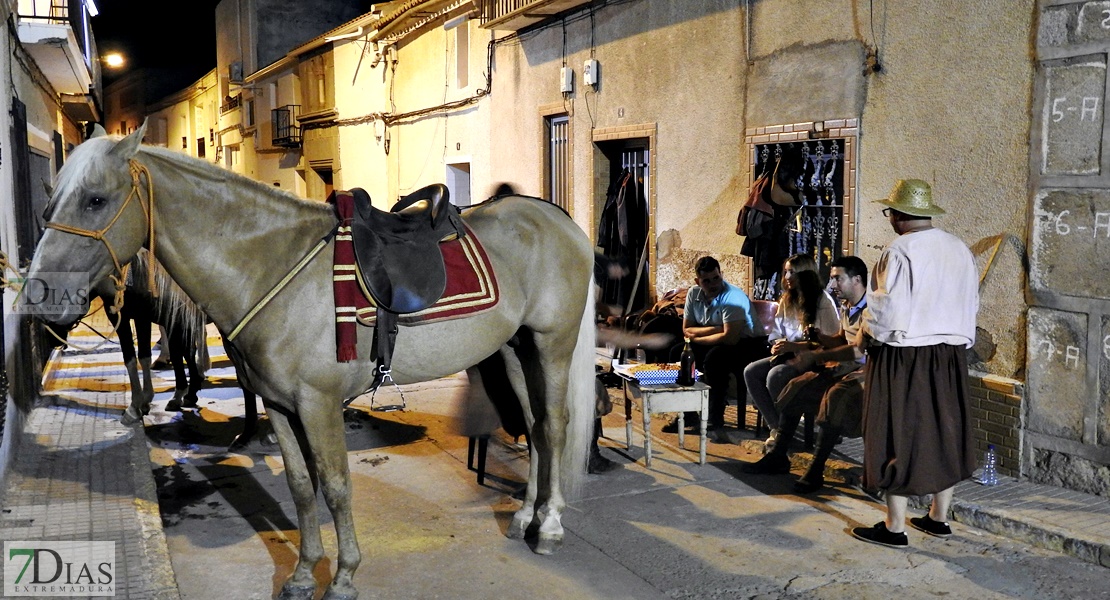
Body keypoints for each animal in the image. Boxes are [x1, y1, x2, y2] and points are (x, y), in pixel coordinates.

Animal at [28, 124, 599, 594]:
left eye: (96, 200)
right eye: (49, 200)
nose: (39, 294)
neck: (267, 264)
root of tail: (556, 217)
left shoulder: (320, 405)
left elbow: (338, 486)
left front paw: (344, 576)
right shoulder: (280, 406)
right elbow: (303, 488)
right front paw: (304, 572)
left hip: (552, 343)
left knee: (554, 425)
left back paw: (549, 526)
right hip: (514, 349)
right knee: (532, 425)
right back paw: (525, 516)